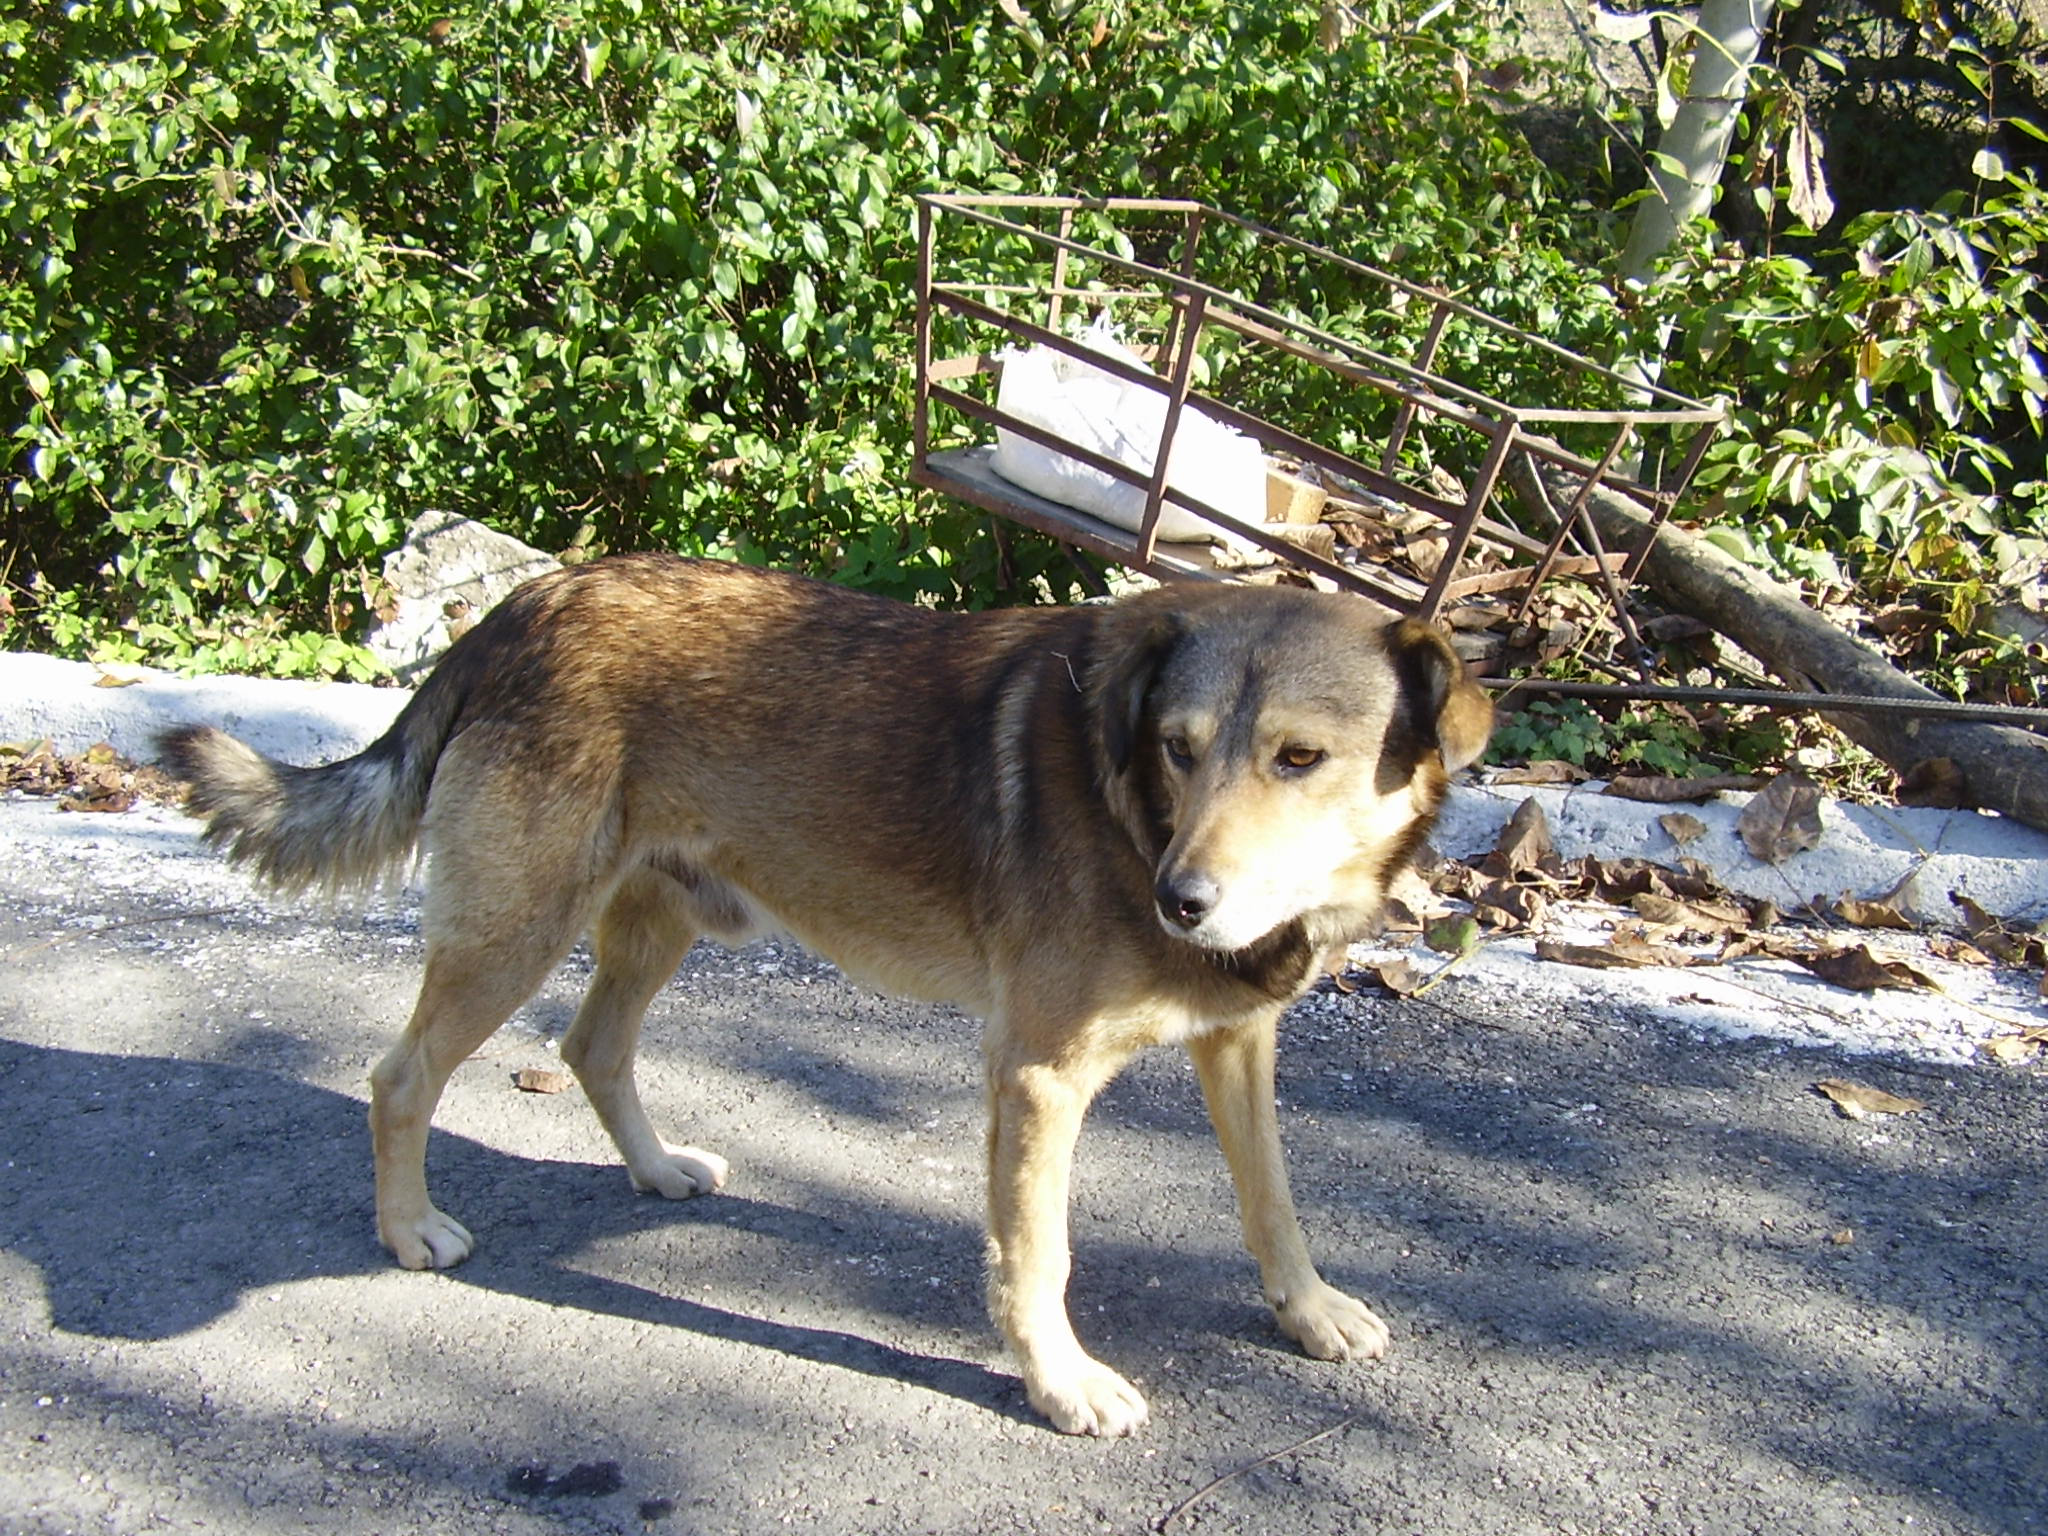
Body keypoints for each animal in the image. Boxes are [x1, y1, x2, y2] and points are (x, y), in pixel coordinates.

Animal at [159, 554, 1492, 1436]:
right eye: (1179, 745)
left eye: (1299, 758)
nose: (1181, 902)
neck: (1136, 814)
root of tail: (531, 601)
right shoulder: (1038, 1077)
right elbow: (1037, 1258)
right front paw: (1058, 1383)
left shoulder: (1238, 1045)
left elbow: (1273, 1203)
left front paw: (1305, 1312)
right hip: (513, 935)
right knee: (400, 1076)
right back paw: (406, 1229)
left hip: (659, 925)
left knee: (591, 1048)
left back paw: (656, 1171)